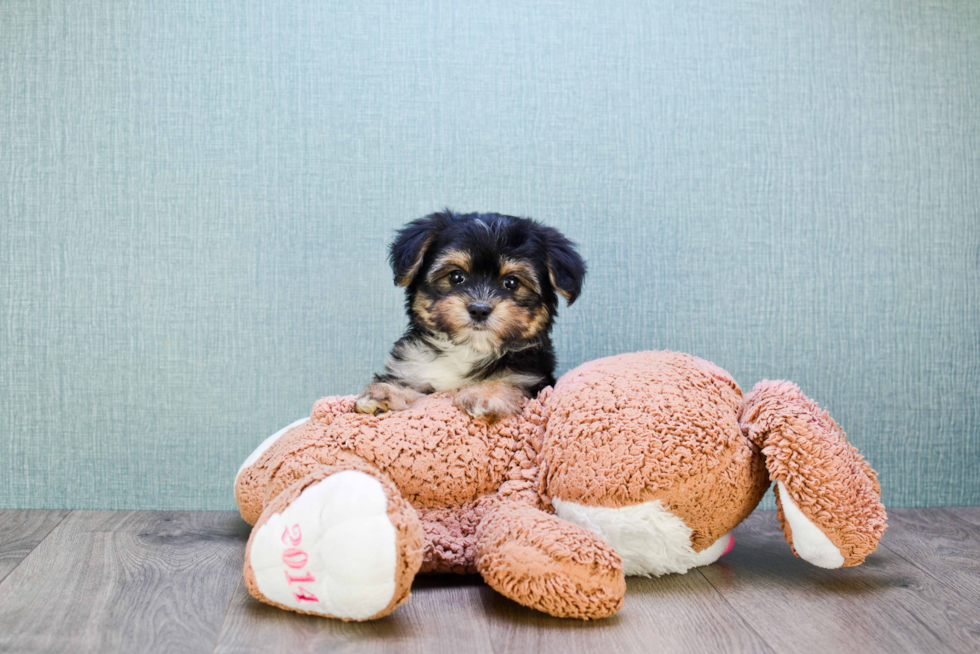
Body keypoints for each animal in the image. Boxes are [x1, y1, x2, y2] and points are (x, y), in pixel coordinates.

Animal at [356, 211, 584, 426]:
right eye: (456, 276)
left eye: (511, 282)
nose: (479, 309)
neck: (469, 348)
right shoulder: (412, 370)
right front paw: (385, 394)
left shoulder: (530, 377)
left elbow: (509, 382)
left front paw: (485, 393)